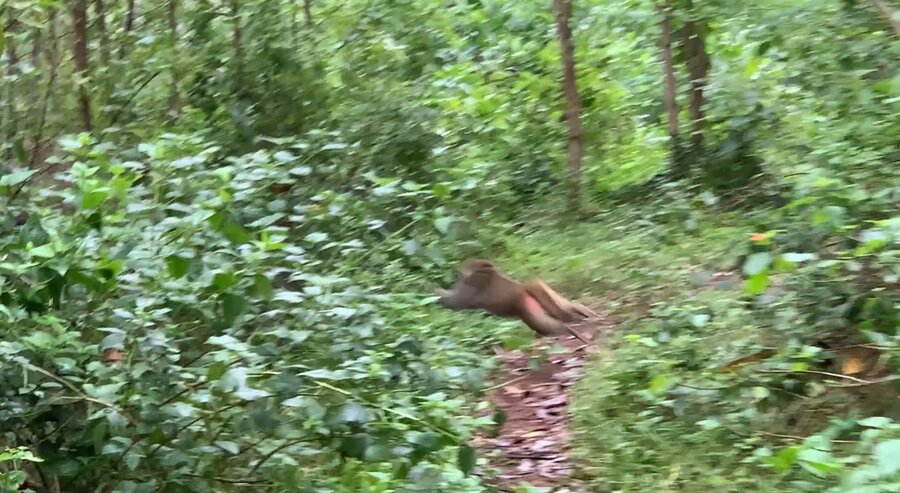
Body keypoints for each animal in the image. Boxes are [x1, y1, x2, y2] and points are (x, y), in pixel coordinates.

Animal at [435, 259, 593, 344]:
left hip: (526, 304)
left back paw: (569, 330)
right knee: (561, 309)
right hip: (539, 295)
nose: (458, 275)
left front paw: (433, 290)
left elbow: (453, 302)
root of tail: (524, 289)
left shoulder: (470, 289)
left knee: (544, 325)